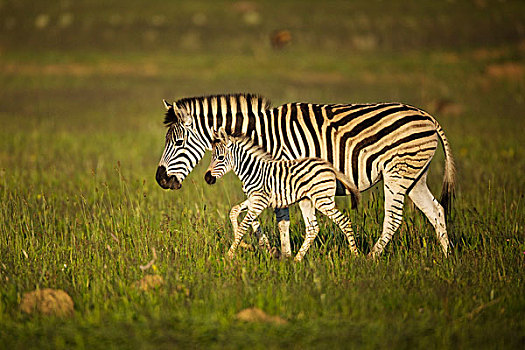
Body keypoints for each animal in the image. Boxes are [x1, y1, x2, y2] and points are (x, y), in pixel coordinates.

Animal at [206, 127, 360, 262]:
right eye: (212, 157)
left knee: (344, 221)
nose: (207, 178)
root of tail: (329, 166)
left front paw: (230, 255)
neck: (252, 171)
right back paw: (297, 260)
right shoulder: (253, 199)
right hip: (306, 200)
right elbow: (233, 211)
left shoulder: (260, 201)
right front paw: (245, 245)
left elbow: (243, 226)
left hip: (322, 199)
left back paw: (355, 256)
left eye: (220, 157)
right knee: (312, 228)